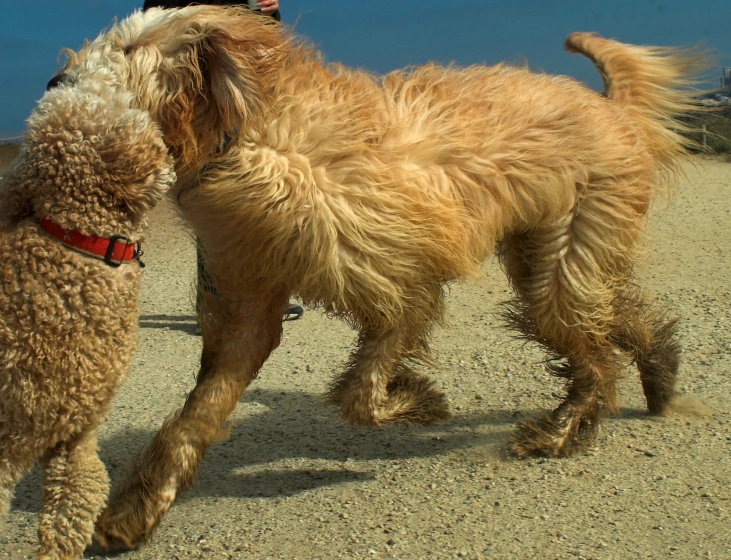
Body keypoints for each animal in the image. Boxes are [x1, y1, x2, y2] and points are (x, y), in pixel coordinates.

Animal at [44, 6, 696, 552]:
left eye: (131, 47)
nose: (53, 82)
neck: (259, 137)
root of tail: (610, 106)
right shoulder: (247, 301)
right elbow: (199, 413)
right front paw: (133, 510)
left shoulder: (403, 283)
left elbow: (361, 392)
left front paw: (417, 401)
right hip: (544, 254)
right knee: (612, 318)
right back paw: (659, 370)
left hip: (571, 246)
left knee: (594, 349)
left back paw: (564, 430)